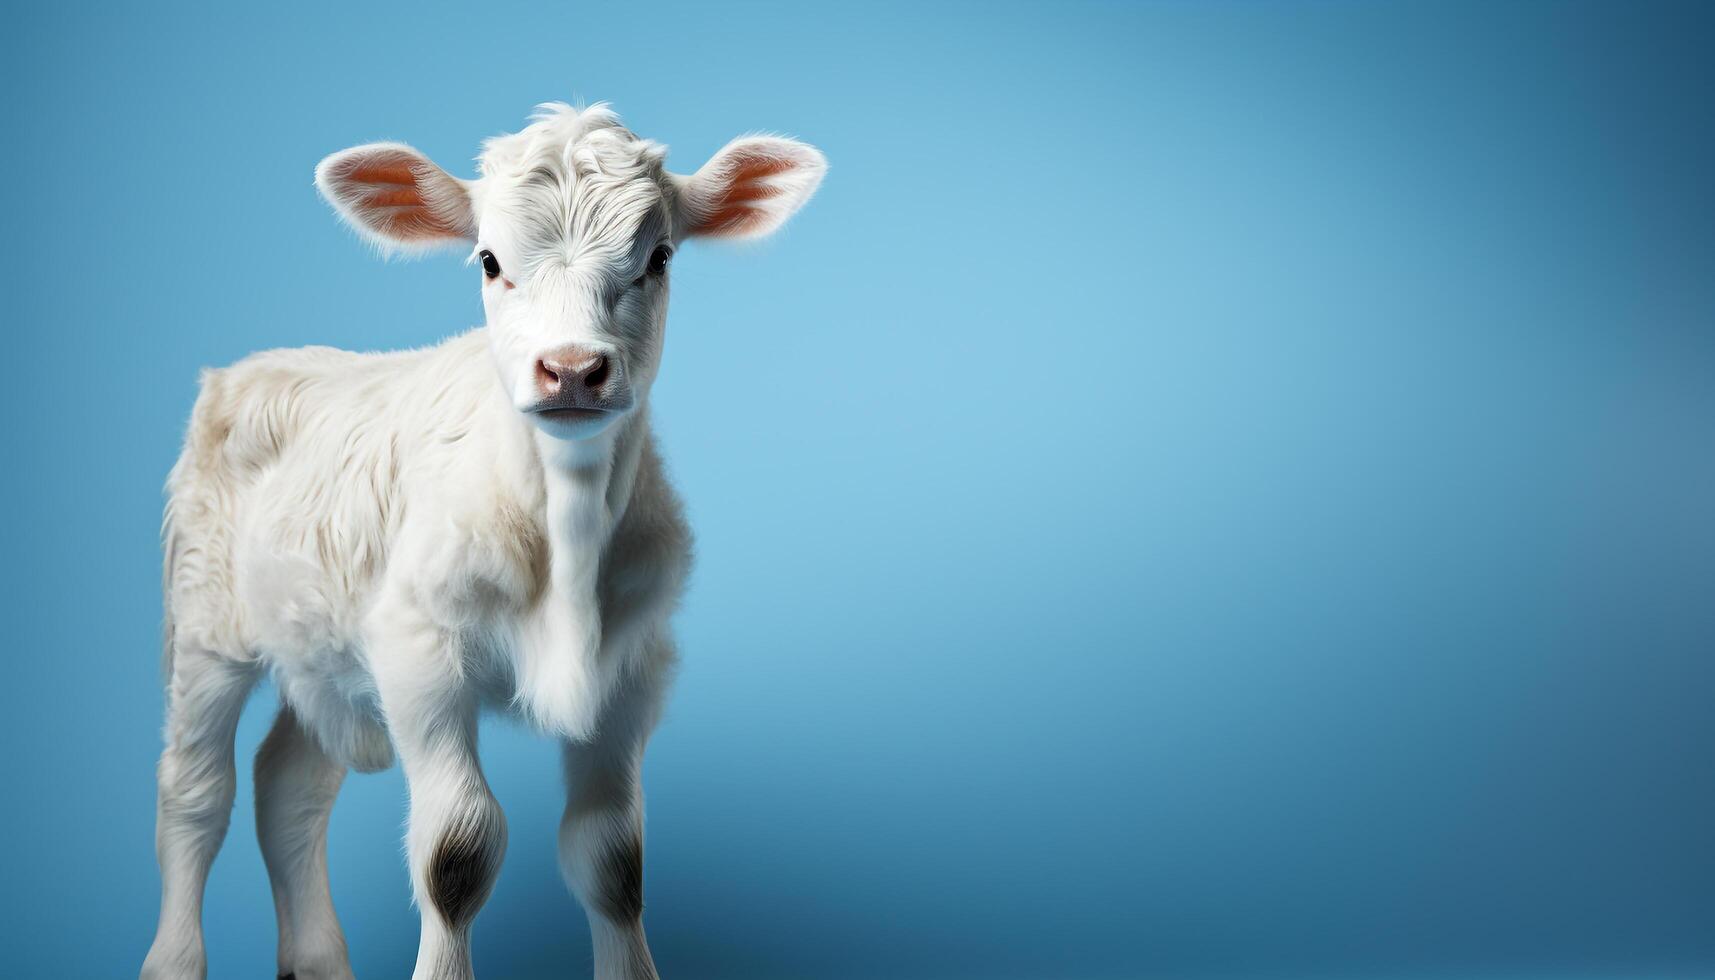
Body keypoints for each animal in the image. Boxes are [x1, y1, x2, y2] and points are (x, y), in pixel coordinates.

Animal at [140, 101, 823, 980]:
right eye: (490, 260)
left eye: (660, 256)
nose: (571, 370)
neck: (565, 534)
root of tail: (253, 366)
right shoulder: (420, 651)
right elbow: (457, 849)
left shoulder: (633, 667)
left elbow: (613, 858)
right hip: (205, 620)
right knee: (195, 792)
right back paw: (173, 958)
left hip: (321, 644)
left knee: (290, 783)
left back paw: (318, 959)